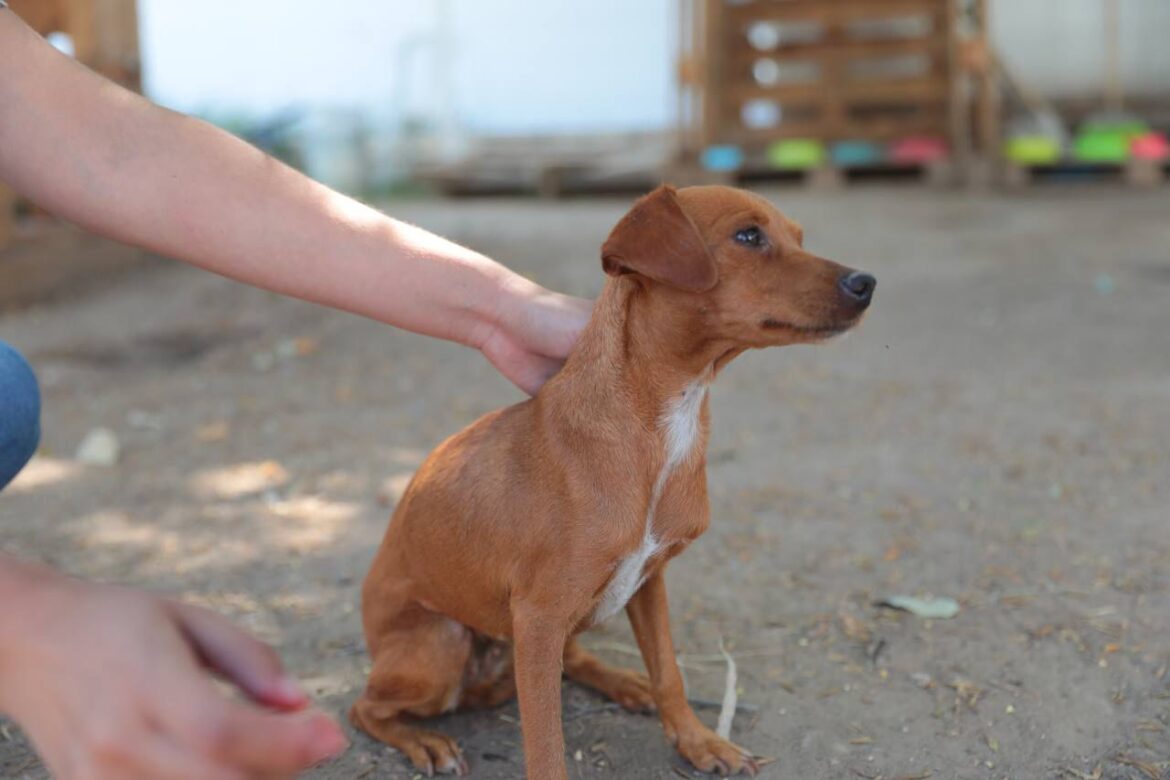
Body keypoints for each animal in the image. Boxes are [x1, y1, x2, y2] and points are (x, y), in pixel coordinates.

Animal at [351, 185, 875, 776]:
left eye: (799, 238)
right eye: (748, 235)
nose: (866, 283)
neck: (661, 430)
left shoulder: (647, 581)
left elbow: (669, 672)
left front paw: (698, 741)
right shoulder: (538, 618)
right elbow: (546, 744)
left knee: (574, 659)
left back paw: (623, 681)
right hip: (440, 646)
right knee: (363, 707)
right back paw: (423, 741)